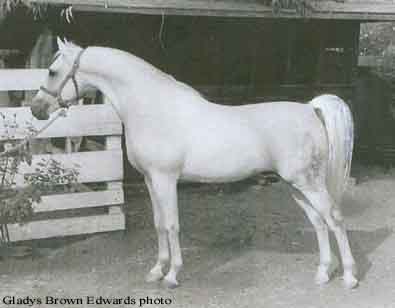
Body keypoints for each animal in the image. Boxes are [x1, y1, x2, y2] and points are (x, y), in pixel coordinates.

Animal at [31, 38, 358, 288]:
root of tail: (310, 108)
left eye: (52, 71)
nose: (36, 109)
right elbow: (159, 224)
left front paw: (172, 275)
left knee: (335, 218)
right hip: (295, 186)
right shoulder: (150, 180)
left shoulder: (165, 179)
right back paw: (323, 273)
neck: (152, 108)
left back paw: (349, 277)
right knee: (319, 222)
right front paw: (157, 270)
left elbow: (172, 224)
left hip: (308, 183)